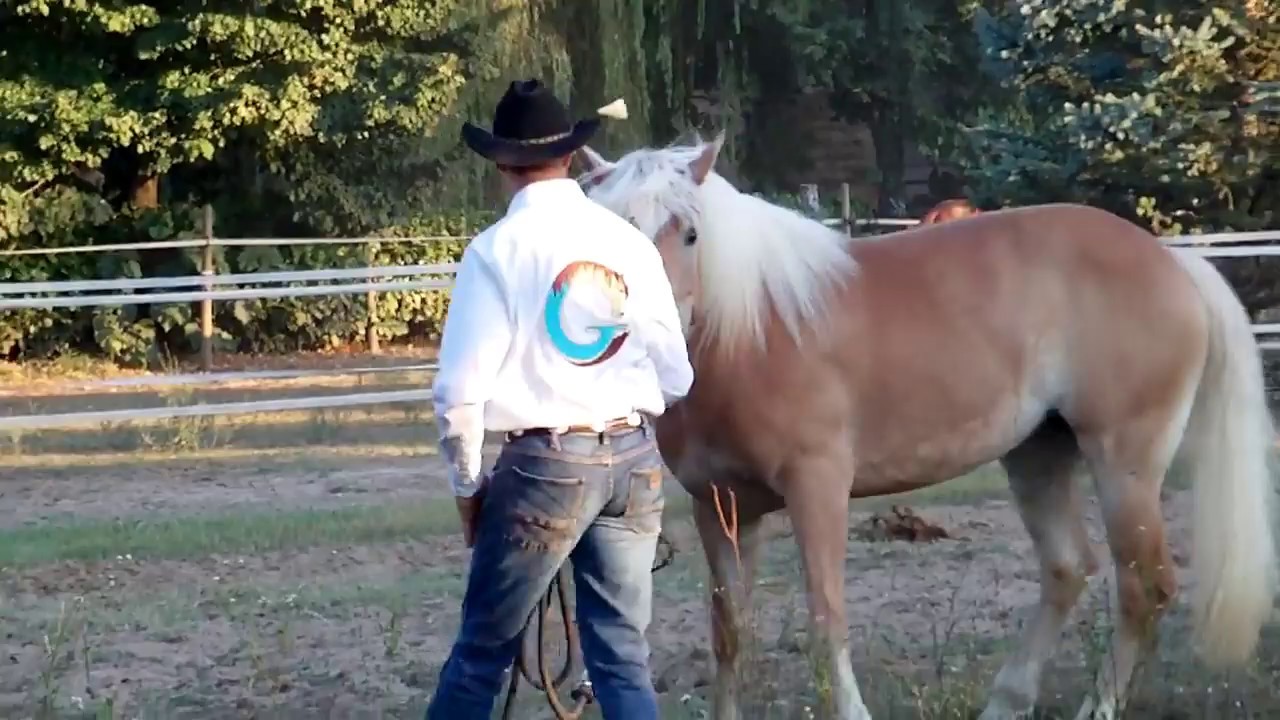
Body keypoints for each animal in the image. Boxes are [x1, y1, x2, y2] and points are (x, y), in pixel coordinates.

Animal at [574, 134, 1278, 720]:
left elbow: (827, 618)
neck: (752, 331)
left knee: (1144, 587)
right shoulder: (719, 506)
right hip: (1037, 454)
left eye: (690, 234)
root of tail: (1173, 263)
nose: (641, 327)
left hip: (1123, 463)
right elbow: (729, 631)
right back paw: (1006, 703)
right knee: (1068, 569)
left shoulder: (817, 488)